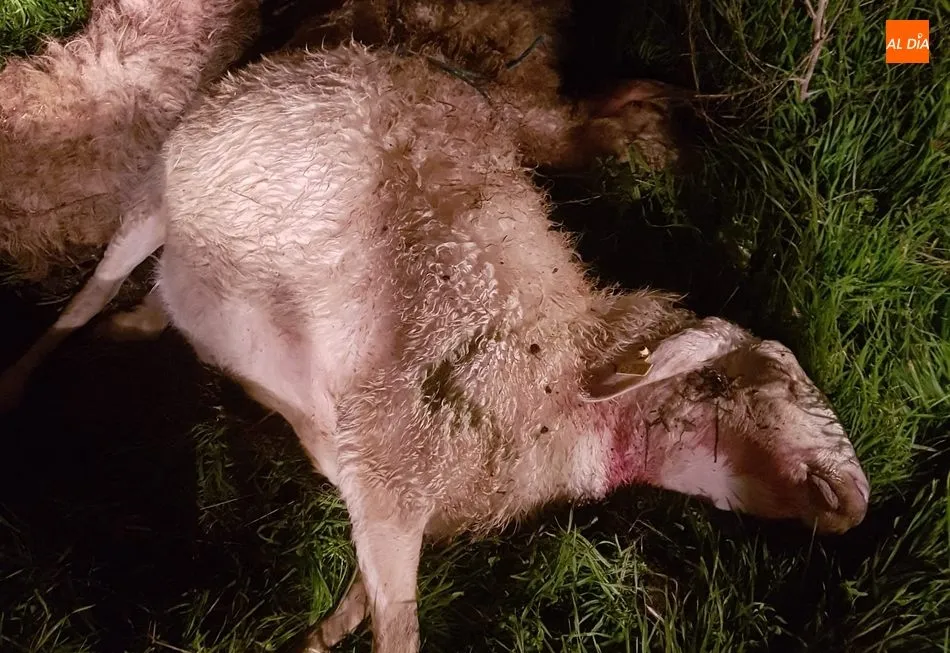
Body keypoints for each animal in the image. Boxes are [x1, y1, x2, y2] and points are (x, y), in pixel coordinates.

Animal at [0, 44, 869, 652]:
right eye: (757, 379)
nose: (856, 500)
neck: (552, 372)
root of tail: (322, 54)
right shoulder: (392, 474)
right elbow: (399, 632)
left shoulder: (393, 496)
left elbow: (364, 602)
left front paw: (314, 636)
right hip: (158, 186)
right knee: (91, 292)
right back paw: (23, 376)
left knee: (165, 294)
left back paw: (143, 326)